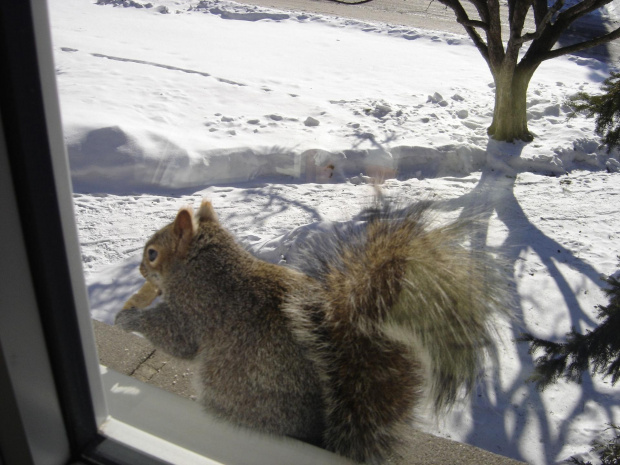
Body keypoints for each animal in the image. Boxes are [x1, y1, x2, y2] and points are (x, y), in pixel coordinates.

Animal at [115, 198, 504, 462]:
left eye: (152, 254)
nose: (139, 270)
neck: (205, 265)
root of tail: (319, 434)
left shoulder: (197, 310)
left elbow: (176, 338)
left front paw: (129, 319)